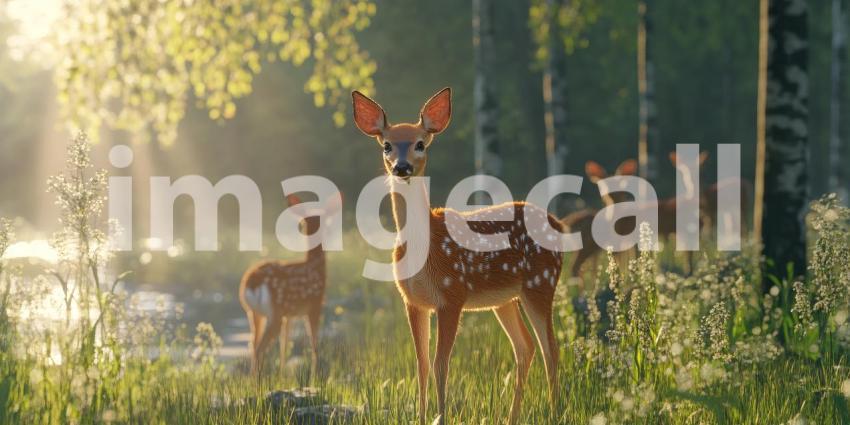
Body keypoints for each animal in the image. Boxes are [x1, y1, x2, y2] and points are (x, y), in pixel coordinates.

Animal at [239, 194, 339, 379]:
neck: (315, 266)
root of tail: (253, 282)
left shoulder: (289, 315)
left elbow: (284, 346)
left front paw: (282, 376)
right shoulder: (314, 305)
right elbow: (314, 343)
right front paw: (314, 376)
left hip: (254, 312)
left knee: (253, 345)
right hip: (275, 311)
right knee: (259, 348)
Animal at [351, 88, 563, 425]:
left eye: (420, 143)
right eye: (386, 145)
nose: (401, 167)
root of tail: (560, 223)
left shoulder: (453, 295)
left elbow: (442, 364)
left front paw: (441, 416)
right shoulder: (412, 301)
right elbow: (421, 364)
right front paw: (422, 417)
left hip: (540, 283)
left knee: (550, 349)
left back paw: (555, 413)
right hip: (505, 299)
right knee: (525, 347)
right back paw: (512, 417)